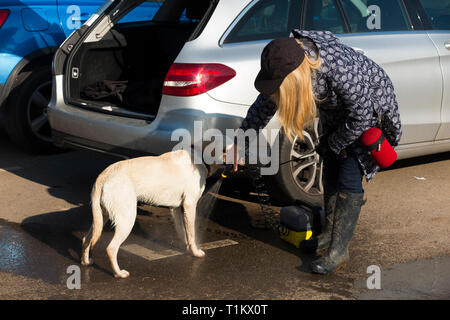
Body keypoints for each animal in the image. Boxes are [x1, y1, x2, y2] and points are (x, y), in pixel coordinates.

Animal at [81, 149, 214, 278]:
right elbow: (191, 234)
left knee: (86, 239)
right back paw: (119, 273)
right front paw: (195, 252)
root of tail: (104, 175)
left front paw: (186, 247)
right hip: (127, 219)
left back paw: (86, 261)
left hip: (101, 217)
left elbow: (182, 231)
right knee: (111, 248)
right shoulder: (189, 205)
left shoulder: (176, 208)